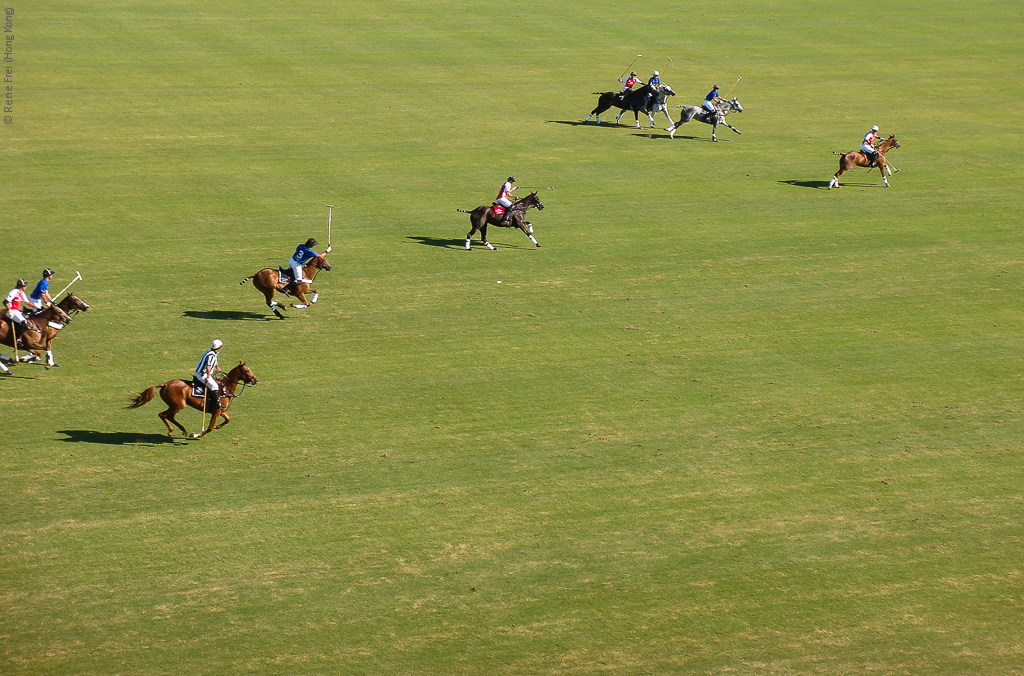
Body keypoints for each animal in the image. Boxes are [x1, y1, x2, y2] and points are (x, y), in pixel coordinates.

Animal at [125, 358, 258, 438]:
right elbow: (209, 428)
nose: (255, 380)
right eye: (246, 370)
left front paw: (217, 426)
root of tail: (165, 385)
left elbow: (227, 420)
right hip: (179, 405)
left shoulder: (220, 410)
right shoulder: (216, 411)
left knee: (169, 416)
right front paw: (197, 434)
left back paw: (182, 430)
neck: (226, 388)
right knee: (163, 415)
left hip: (175, 406)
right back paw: (172, 431)